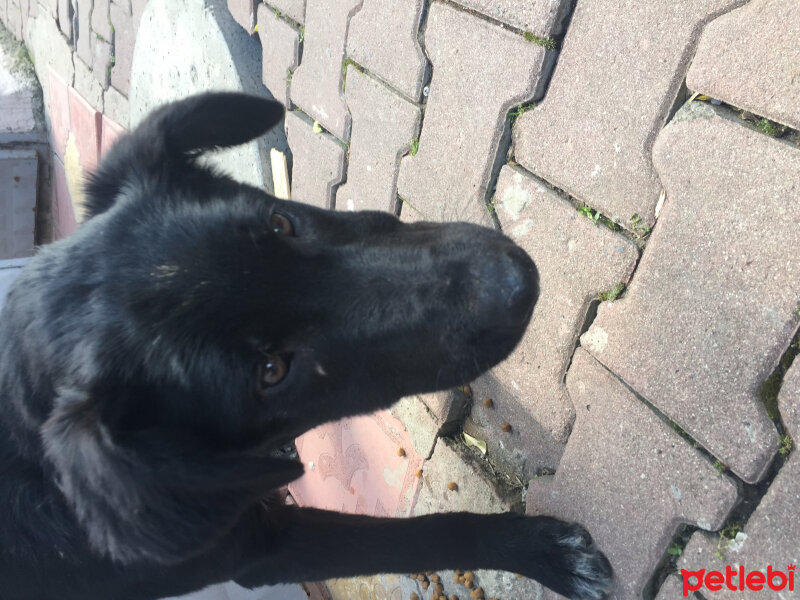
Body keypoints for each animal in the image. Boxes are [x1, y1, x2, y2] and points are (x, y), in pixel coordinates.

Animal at [0, 94, 612, 600]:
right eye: (271, 370)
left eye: (280, 222)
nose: (516, 283)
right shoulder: (261, 552)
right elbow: (424, 536)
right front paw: (541, 553)